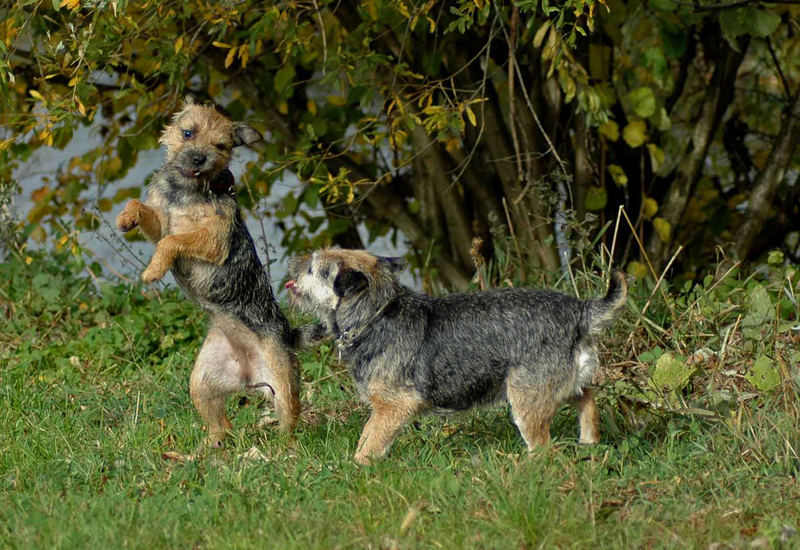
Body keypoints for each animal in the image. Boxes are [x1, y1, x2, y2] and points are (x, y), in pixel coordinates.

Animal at [114, 96, 298, 448]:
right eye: (188, 132)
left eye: (220, 145)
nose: (200, 156)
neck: (185, 191)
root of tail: (248, 375)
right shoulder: (160, 221)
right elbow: (144, 211)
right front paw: (126, 217)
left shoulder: (212, 239)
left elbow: (173, 241)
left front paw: (153, 270)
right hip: (202, 380)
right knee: (220, 423)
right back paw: (209, 446)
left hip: (281, 384)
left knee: (290, 417)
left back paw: (283, 447)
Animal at [284, 250, 628, 466]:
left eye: (313, 268)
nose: (294, 261)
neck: (376, 315)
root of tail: (578, 310)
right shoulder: (383, 409)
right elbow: (367, 435)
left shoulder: (395, 406)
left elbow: (371, 442)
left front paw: (358, 468)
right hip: (559, 385)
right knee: (588, 397)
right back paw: (589, 441)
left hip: (527, 399)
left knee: (544, 449)